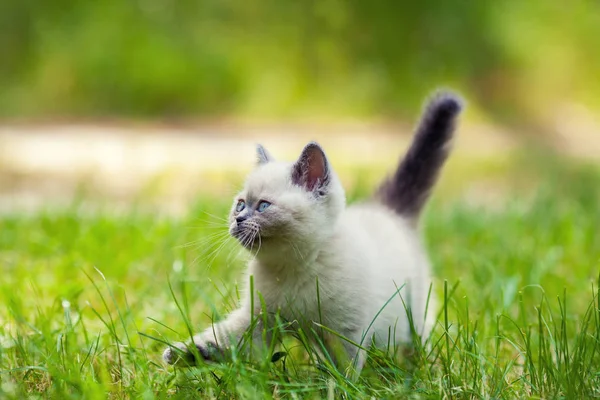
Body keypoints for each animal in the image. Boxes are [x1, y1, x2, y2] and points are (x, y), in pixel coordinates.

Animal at [164, 91, 464, 376]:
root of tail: (387, 210)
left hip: (411, 316)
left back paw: (425, 368)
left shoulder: (346, 329)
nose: (238, 220)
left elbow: (345, 366)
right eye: (240, 204)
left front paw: (336, 385)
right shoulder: (258, 320)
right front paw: (184, 353)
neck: (290, 268)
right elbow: (224, 340)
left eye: (263, 206)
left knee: (416, 341)